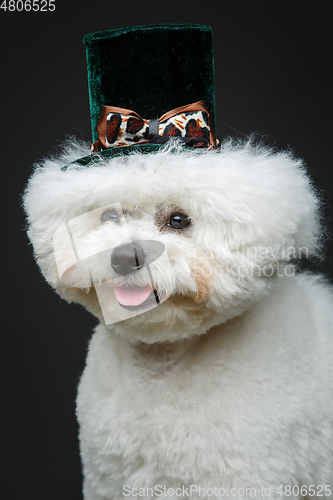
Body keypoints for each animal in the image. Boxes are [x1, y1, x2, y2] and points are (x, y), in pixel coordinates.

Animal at [24, 138, 332, 500]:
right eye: (109, 215)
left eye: (178, 220)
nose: (124, 257)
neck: (162, 365)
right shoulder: (108, 479)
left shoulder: (245, 477)